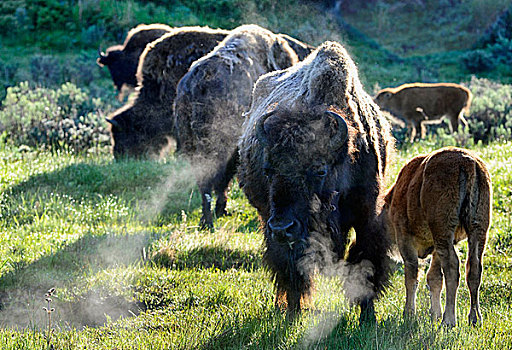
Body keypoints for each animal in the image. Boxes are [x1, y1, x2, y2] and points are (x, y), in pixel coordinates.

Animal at [238, 41, 394, 320]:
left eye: (319, 170)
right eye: (268, 170)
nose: (282, 227)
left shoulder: (367, 216)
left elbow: (365, 264)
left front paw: (368, 318)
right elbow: (293, 268)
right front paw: (293, 313)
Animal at [384, 146, 492, 326]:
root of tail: (468, 162)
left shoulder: (405, 238)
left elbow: (412, 275)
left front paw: (409, 313)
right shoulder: (436, 246)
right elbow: (434, 278)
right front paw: (435, 313)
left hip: (443, 229)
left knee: (452, 266)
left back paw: (449, 320)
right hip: (478, 228)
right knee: (474, 267)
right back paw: (475, 318)